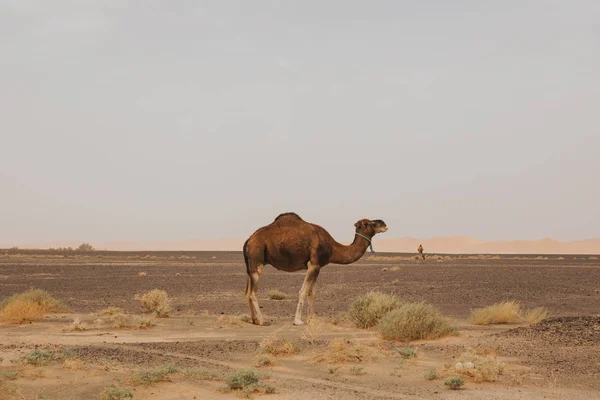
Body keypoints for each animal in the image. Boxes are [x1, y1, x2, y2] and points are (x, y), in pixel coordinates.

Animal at [244, 212, 390, 324]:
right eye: (368, 224)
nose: (384, 223)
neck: (332, 247)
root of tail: (248, 240)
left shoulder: (318, 266)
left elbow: (311, 292)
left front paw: (312, 318)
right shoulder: (313, 264)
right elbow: (303, 291)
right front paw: (298, 321)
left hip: (250, 266)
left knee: (247, 291)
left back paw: (253, 320)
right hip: (257, 259)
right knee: (253, 292)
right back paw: (262, 321)